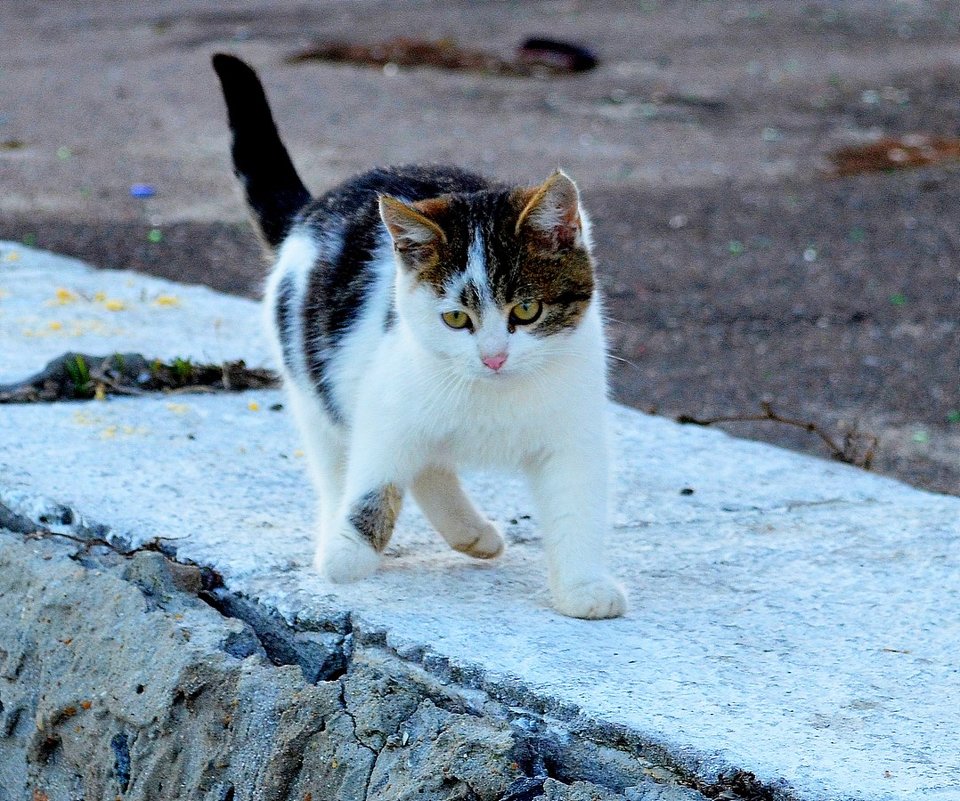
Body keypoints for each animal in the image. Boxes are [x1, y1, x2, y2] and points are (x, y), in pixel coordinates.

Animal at [213, 54, 628, 620]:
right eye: (455, 319)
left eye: (526, 310)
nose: (494, 358)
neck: (494, 396)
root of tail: (315, 207)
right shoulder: (384, 399)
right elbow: (376, 475)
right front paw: (348, 552)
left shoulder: (573, 428)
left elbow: (576, 503)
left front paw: (583, 588)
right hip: (313, 384)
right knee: (343, 463)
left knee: (429, 464)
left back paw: (471, 533)